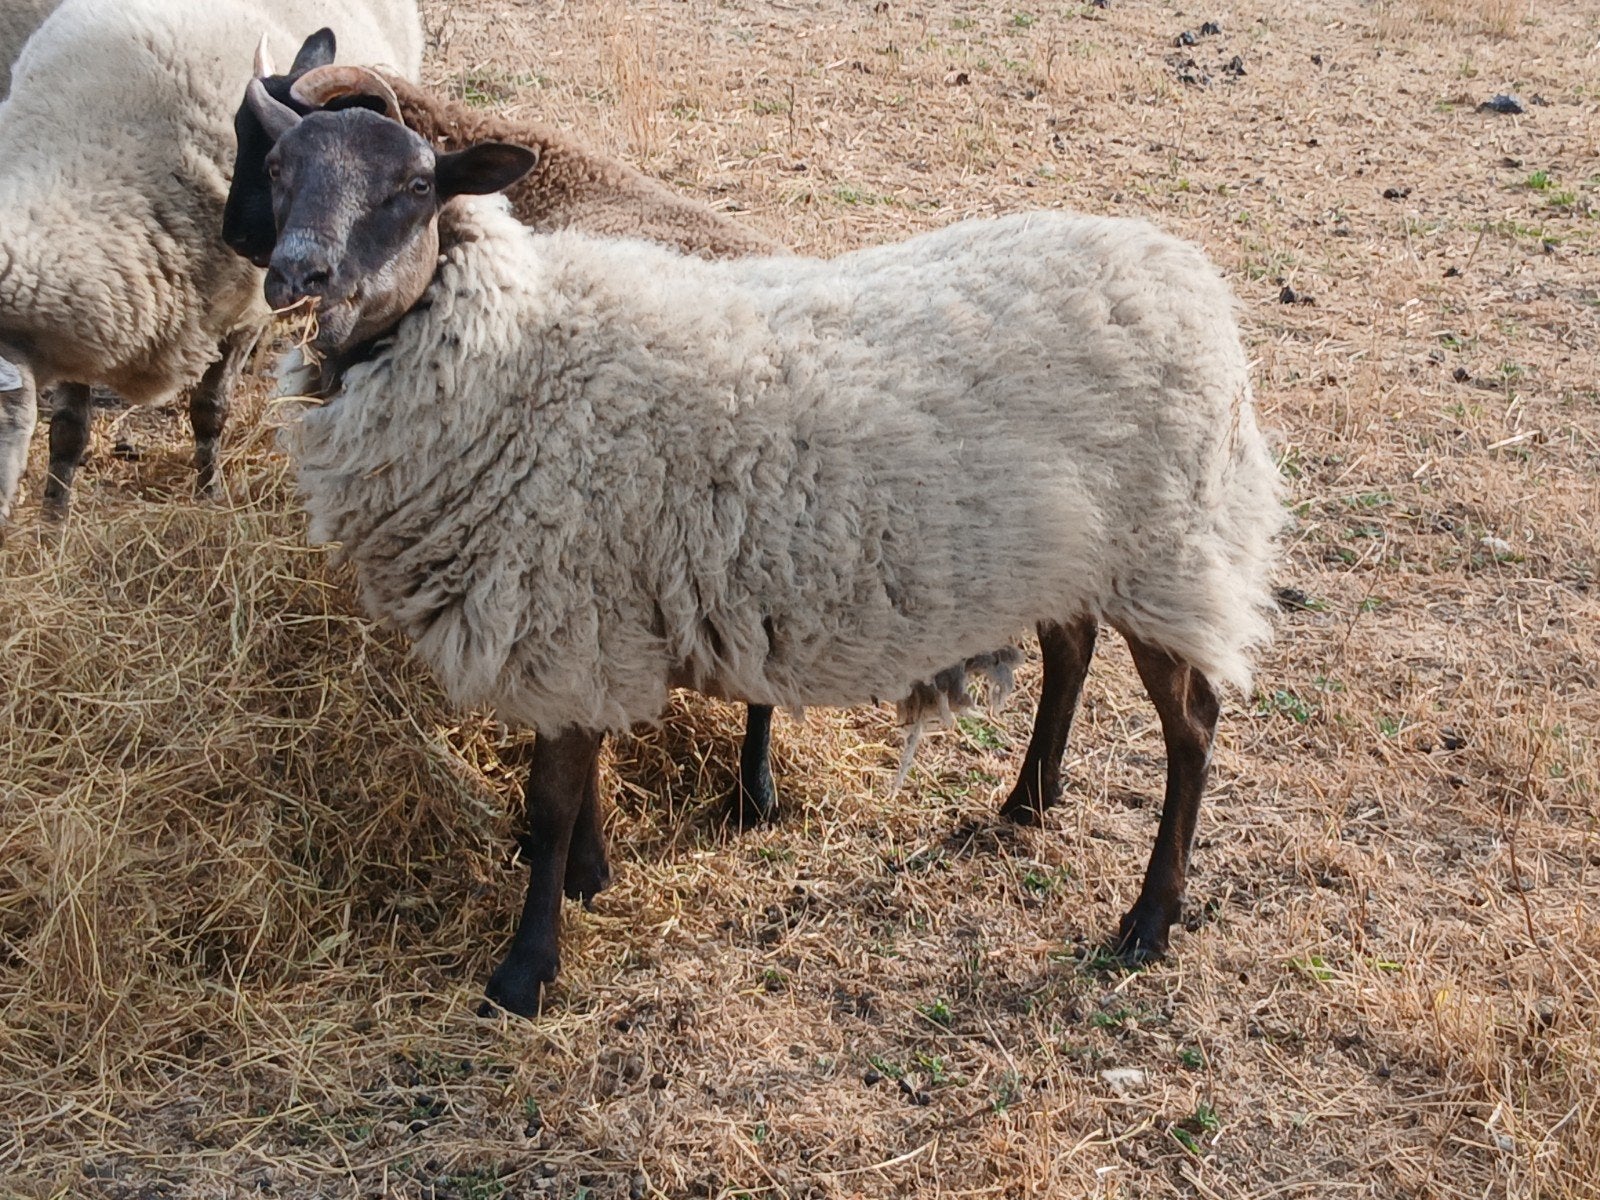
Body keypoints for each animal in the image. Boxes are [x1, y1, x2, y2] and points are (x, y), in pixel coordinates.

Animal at [0, 0, 421, 540]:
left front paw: (210, 494)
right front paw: (54, 520)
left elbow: (210, 409)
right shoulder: (85, 318)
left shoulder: (244, 311)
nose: (240, 240)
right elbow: (69, 429)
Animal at [249, 98, 1285, 1018]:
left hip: (1170, 546)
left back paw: (1149, 919)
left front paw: (525, 971)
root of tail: (1187, 271)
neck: (514, 349)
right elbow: (576, 786)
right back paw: (1028, 802)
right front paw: (590, 876)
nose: (300, 274)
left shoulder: (566, 610)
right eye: (278, 169)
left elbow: (549, 801)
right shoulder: (589, 623)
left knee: (1193, 728)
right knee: (1072, 649)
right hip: (1067, 545)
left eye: (416, 186)